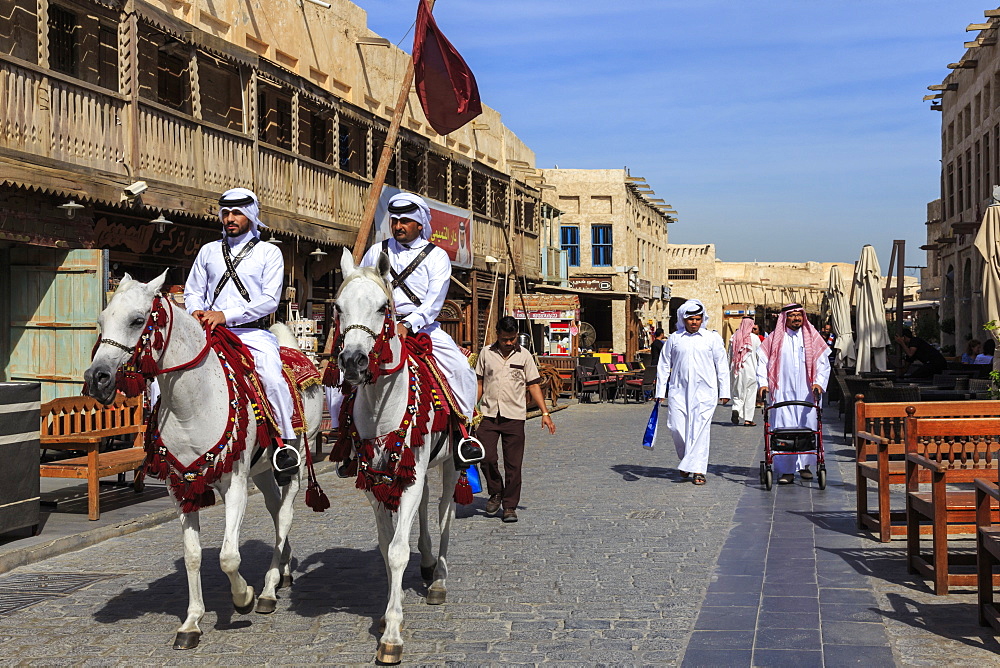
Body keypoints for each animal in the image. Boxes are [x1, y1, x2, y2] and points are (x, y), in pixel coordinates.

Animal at [85, 270, 324, 648]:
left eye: (137, 320)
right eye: (101, 319)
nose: (97, 378)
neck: (192, 403)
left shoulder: (234, 484)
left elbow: (228, 556)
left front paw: (243, 597)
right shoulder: (181, 487)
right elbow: (193, 556)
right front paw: (191, 622)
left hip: (296, 460)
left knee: (285, 516)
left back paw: (267, 591)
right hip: (261, 472)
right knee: (274, 511)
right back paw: (282, 571)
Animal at [334, 250, 462, 664]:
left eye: (382, 307)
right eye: (338, 306)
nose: (353, 361)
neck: (381, 406)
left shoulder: (412, 477)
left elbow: (397, 552)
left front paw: (391, 634)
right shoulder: (376, 482)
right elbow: (385, 546)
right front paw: (391, 615)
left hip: (451, 465)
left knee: (444, 511)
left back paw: (438, 580)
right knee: (425, 508)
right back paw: (428, 564)